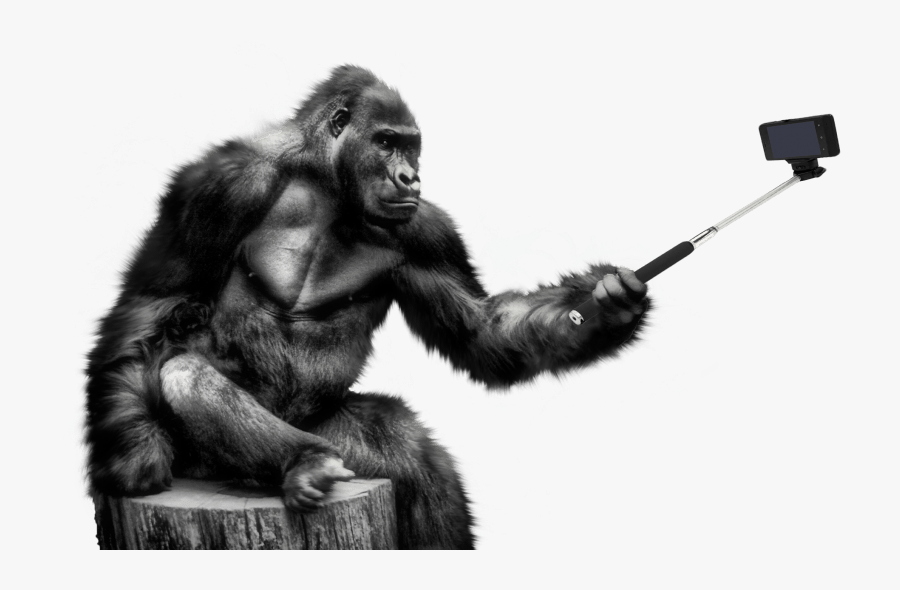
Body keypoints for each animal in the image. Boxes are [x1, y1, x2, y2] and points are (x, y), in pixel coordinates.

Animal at [85, 65, 651, 550]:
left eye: (412, 147)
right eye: (385, 142)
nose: (410, 177)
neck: (324, 181)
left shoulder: (428, 231)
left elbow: (479, 330)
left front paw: (610, 306)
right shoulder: (219, 184)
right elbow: (155, 304)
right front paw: (134, 450)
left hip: (343, 444)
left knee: (411, 458)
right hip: (212, 464)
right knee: (183, 373)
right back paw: (304, 461)